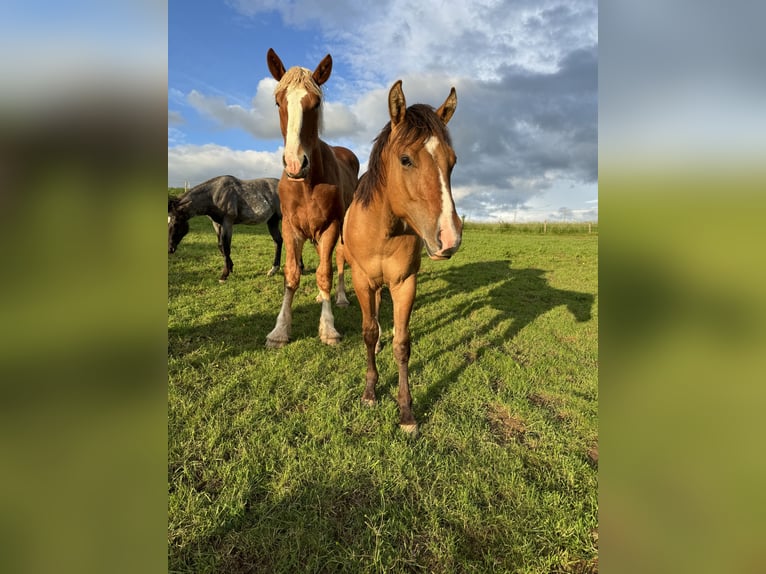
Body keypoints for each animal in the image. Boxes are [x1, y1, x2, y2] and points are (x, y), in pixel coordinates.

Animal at [264, 48, 360, 352]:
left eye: (316, 104)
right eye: (278, 101)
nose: (295, 164)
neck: (306, 184)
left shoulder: (330, 227)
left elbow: (326, 272)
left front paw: (328, 328)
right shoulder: (291, 228)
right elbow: (292, 274)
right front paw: (279, 330)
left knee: (337, 261)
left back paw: (339, 298)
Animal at [344, 80, 462, 432]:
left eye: (452, 161)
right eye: (406, 159)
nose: (450, 236)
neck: (383, 230)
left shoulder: (405, 283)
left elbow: (402, 343)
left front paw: (406, 411)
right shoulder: (362, 281)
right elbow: (368, 332)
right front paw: (370, 392)